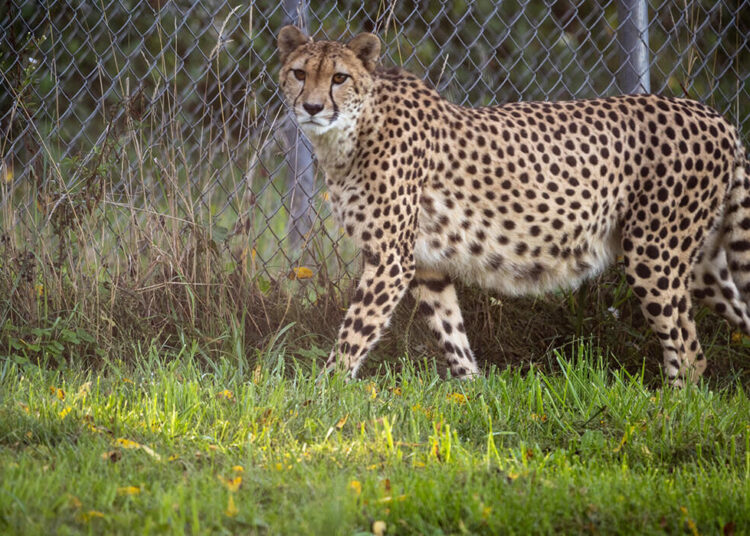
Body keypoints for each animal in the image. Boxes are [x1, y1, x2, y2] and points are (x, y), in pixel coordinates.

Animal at [277, 25, 750, 386]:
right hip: (701, 265)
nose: (312, 106)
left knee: (689, 352)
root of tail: (714, 115)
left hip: (654, 254)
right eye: (299, 73)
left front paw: (324, 391)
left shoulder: (390, 259)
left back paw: (670, 411)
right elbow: (450, 329)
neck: (350, 132)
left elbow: (356, 330)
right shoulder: (425, 264)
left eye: (339, 78)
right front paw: (472, 390)